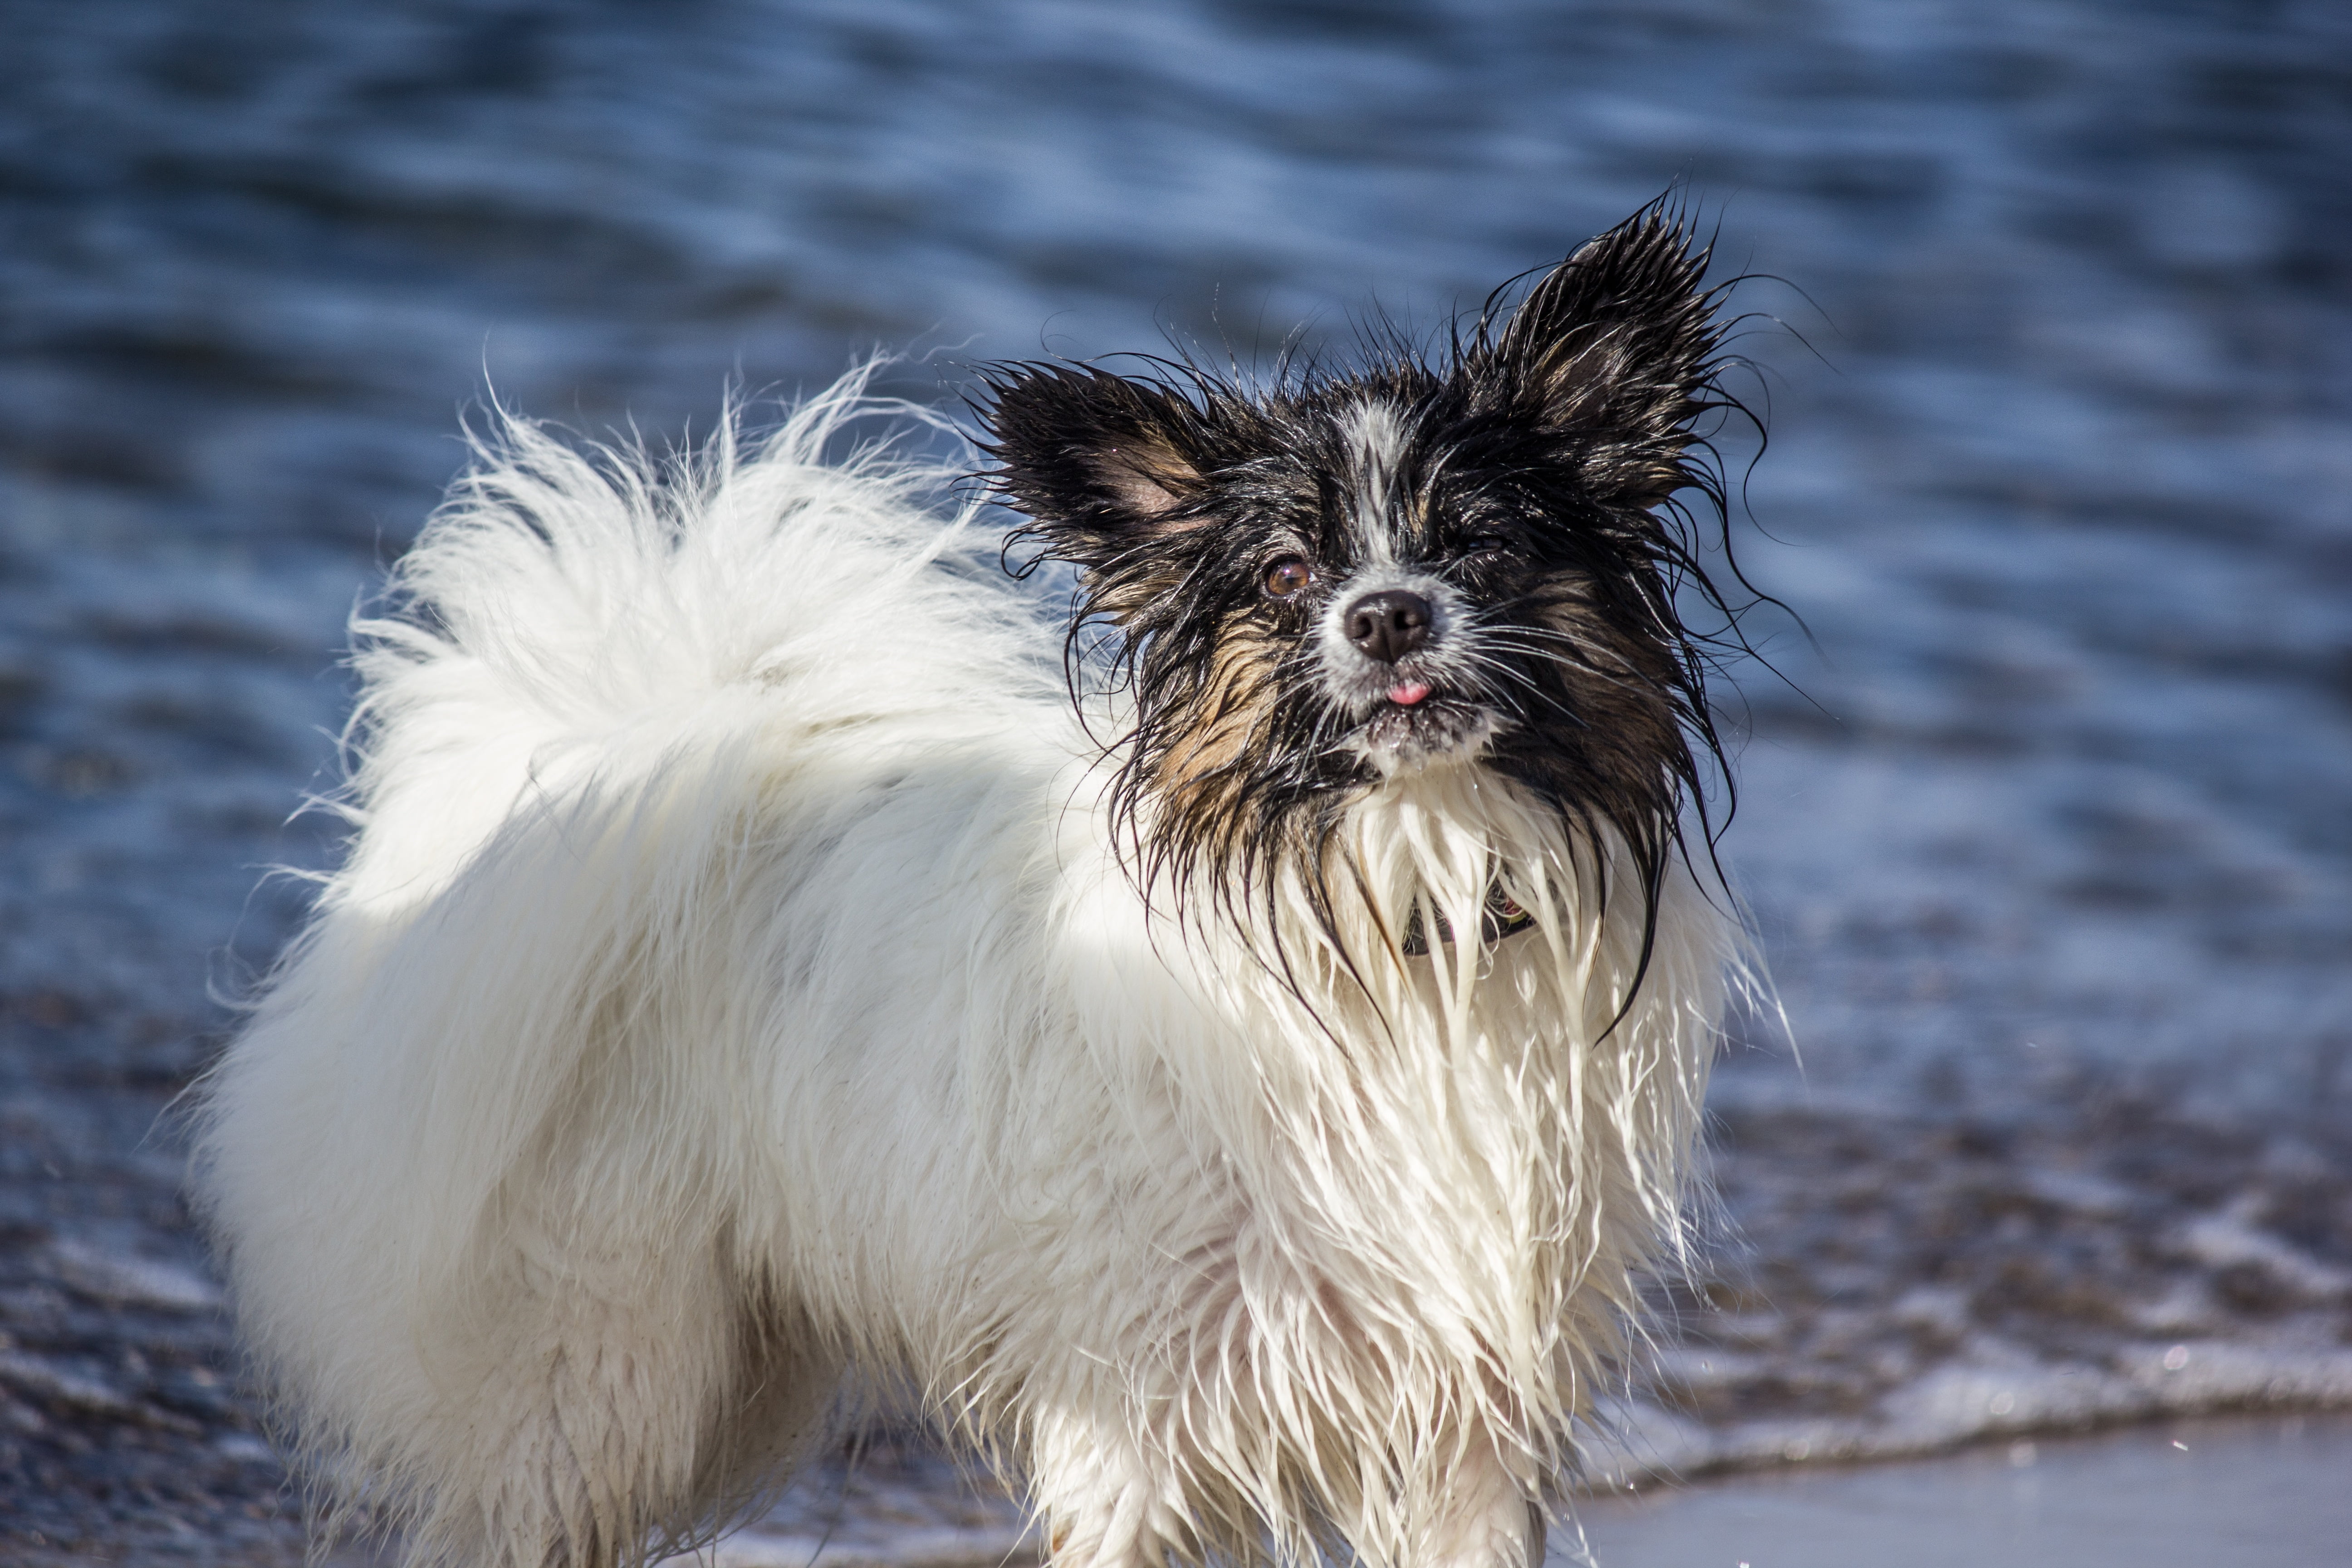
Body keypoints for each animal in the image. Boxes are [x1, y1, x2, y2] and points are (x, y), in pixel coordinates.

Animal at [197, 206, 1749, 1568]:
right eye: (1284, 574)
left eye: (1479, 543)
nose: (1385, 616)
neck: (1390, 914)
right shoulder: (1134, 1410)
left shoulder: (1469, 1422)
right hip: (602, 1378)